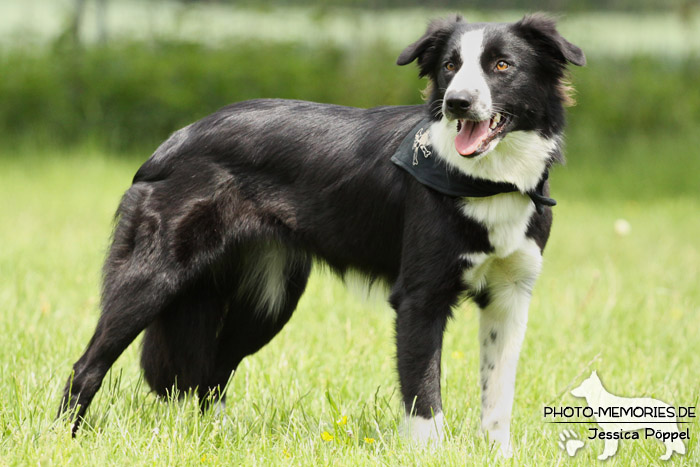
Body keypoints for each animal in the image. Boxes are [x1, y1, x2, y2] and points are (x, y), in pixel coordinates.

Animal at [57, 13, 584, 458]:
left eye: (502, 66)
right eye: (450, 66)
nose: (457, 103)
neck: (487, 181)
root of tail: (172, 142)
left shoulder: (510, 297)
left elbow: (497, 396)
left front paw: (498, 455)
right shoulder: (420, 298)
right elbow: (424, 398)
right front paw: (432, 455)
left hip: (269, 300)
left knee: (212, 373)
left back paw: (218, 442)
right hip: (154, 277)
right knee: (87, 367)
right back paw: (65, 439)